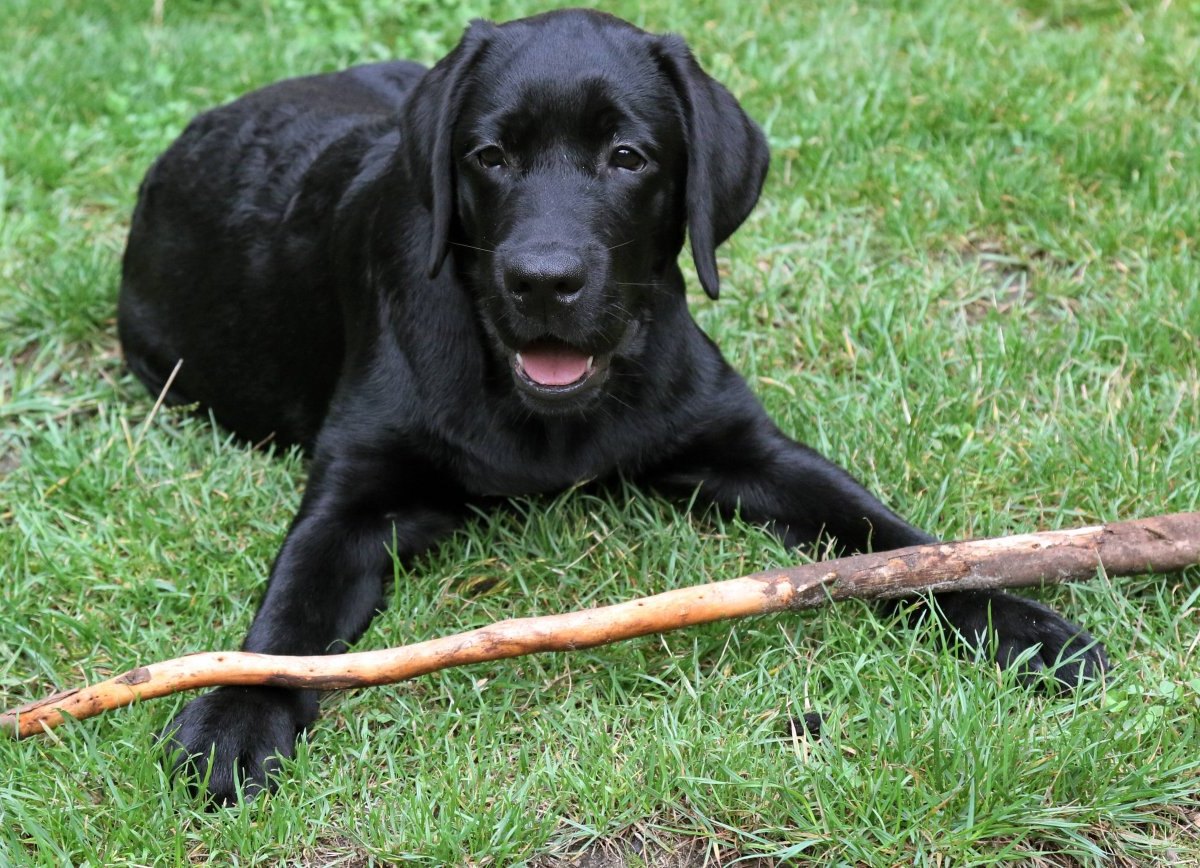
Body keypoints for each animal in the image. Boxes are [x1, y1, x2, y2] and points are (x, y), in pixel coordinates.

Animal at [117, 10, 1108, 806]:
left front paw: (1023, 625)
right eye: (490, 156)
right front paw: (234, 717)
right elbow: (287, 615)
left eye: (627, 158)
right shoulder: (352, 496)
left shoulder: (747, 445)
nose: (542, 279)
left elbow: (894, 544)